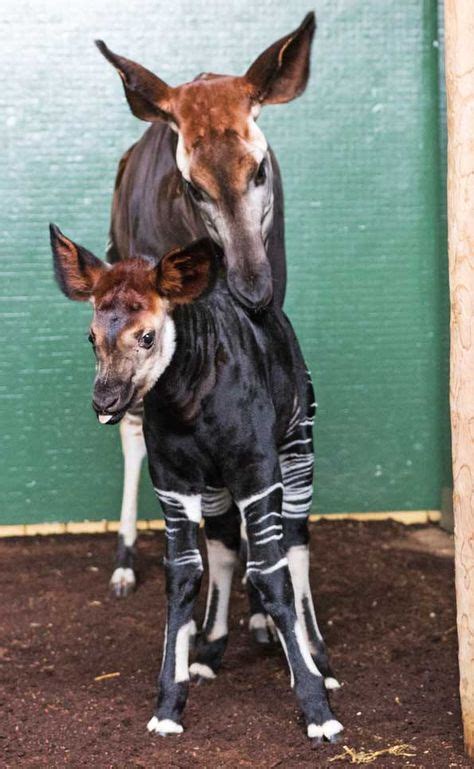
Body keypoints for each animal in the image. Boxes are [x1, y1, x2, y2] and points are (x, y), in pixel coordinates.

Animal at [50, 225, 342, 740]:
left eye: (146, 336)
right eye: (91, 337)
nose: (105, 400)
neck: (187, 398)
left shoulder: (256, 472)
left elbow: (272, 574)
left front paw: (317, 709)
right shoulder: (176, 482)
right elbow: (183, 574)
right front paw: (169, 702)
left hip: (297, 444)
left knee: (295, 540)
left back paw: (317, 657)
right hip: (216, 488)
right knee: (225, 542)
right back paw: (209, 652)